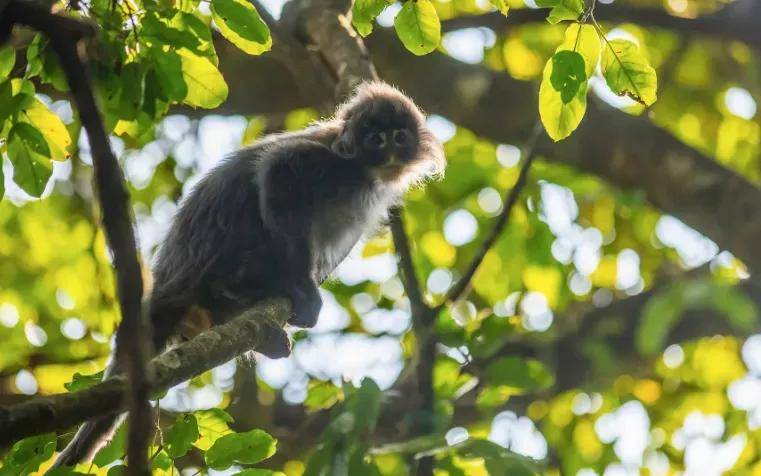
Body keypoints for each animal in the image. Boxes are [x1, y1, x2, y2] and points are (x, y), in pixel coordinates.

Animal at [52, 81, 446, 468]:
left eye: (399, 137)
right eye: (375, 140)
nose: (391, 152)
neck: (362, 170)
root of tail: (167, 286)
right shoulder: (325, 164)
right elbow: (279, 171)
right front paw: (301, 286)